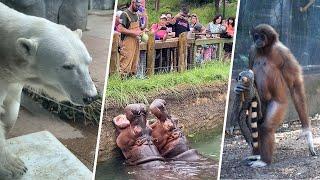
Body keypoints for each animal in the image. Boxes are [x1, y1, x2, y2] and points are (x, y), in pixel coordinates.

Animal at [0, 2, 97, 179]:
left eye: (88, 62)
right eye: (67, 66)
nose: (91, 96)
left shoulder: (12, 79)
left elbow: (11, 108)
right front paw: (14, 166)